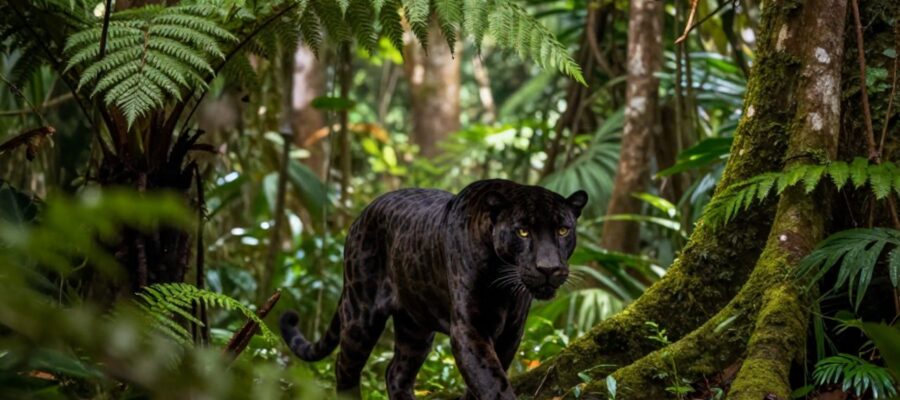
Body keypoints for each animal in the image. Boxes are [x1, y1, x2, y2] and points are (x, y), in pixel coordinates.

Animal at [280, 179, 587, 399]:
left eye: (562, 230)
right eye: (522, 231)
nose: (548, 268)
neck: (504, 287)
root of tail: (361, 216)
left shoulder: (511, 332)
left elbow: (481, 381)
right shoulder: (468, 329)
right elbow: (492, 382)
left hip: (415, 329)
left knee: (396, 373)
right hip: (361, 314)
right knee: (345, 370)